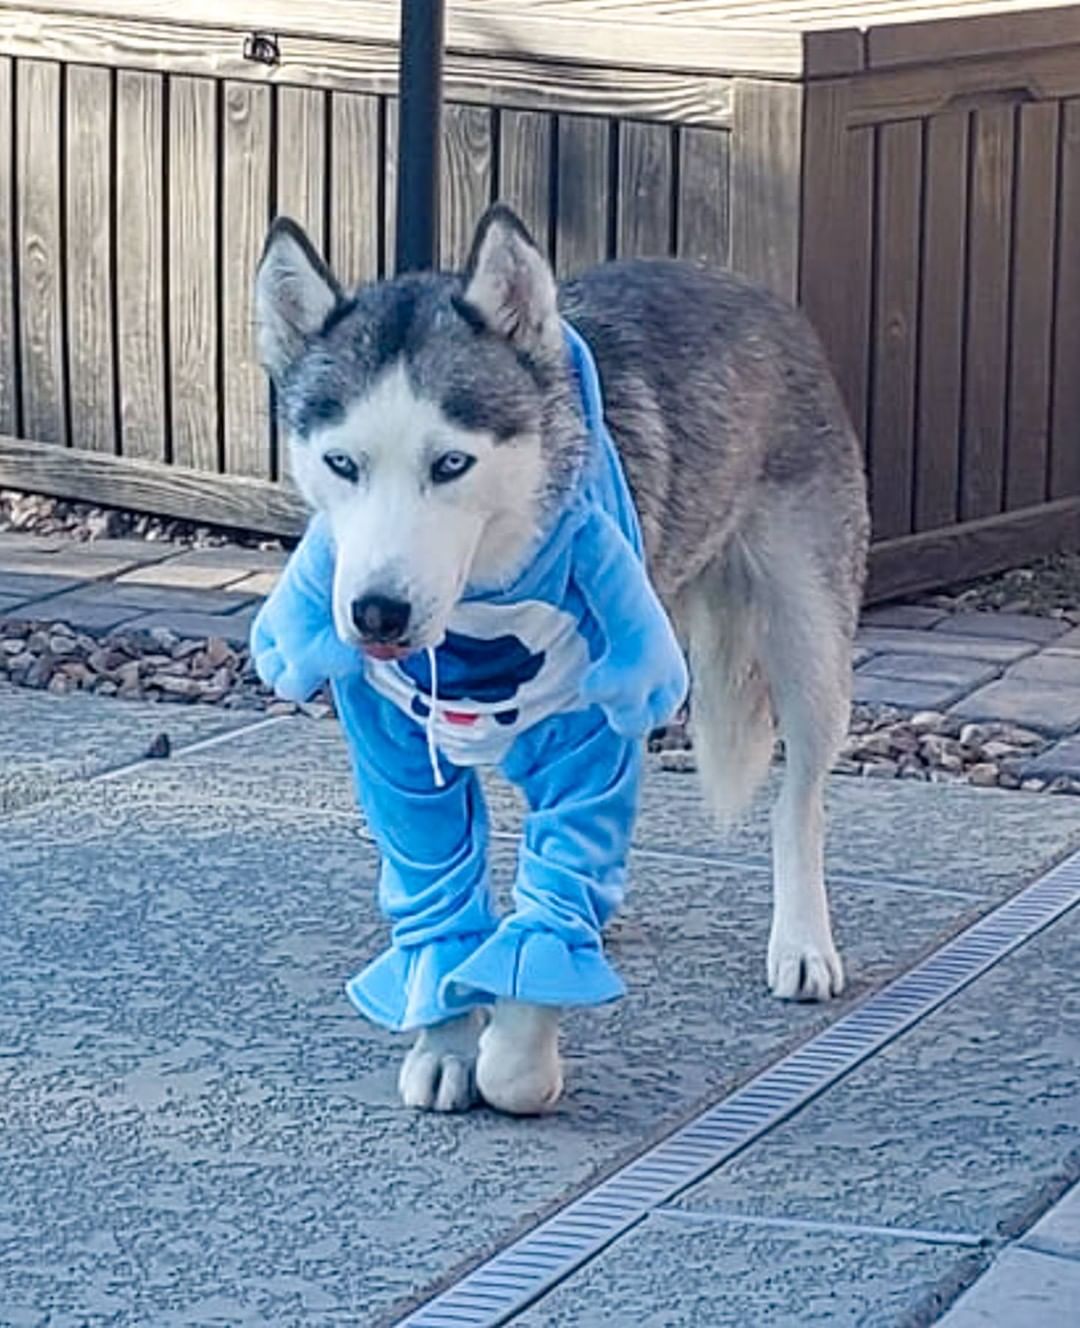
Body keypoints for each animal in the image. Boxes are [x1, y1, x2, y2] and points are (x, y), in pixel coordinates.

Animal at [251, 201, 866, 1115]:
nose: (375, 612)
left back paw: (800, 940)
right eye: (341, 463)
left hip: (809, 639)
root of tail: (738, 282)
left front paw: (514, 1057)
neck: (477, 615)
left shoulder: (588, 747)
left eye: (451, 463)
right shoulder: (401, 766)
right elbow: (440, 906)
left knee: (801, 799)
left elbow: (543, 938)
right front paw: (445, 1042)